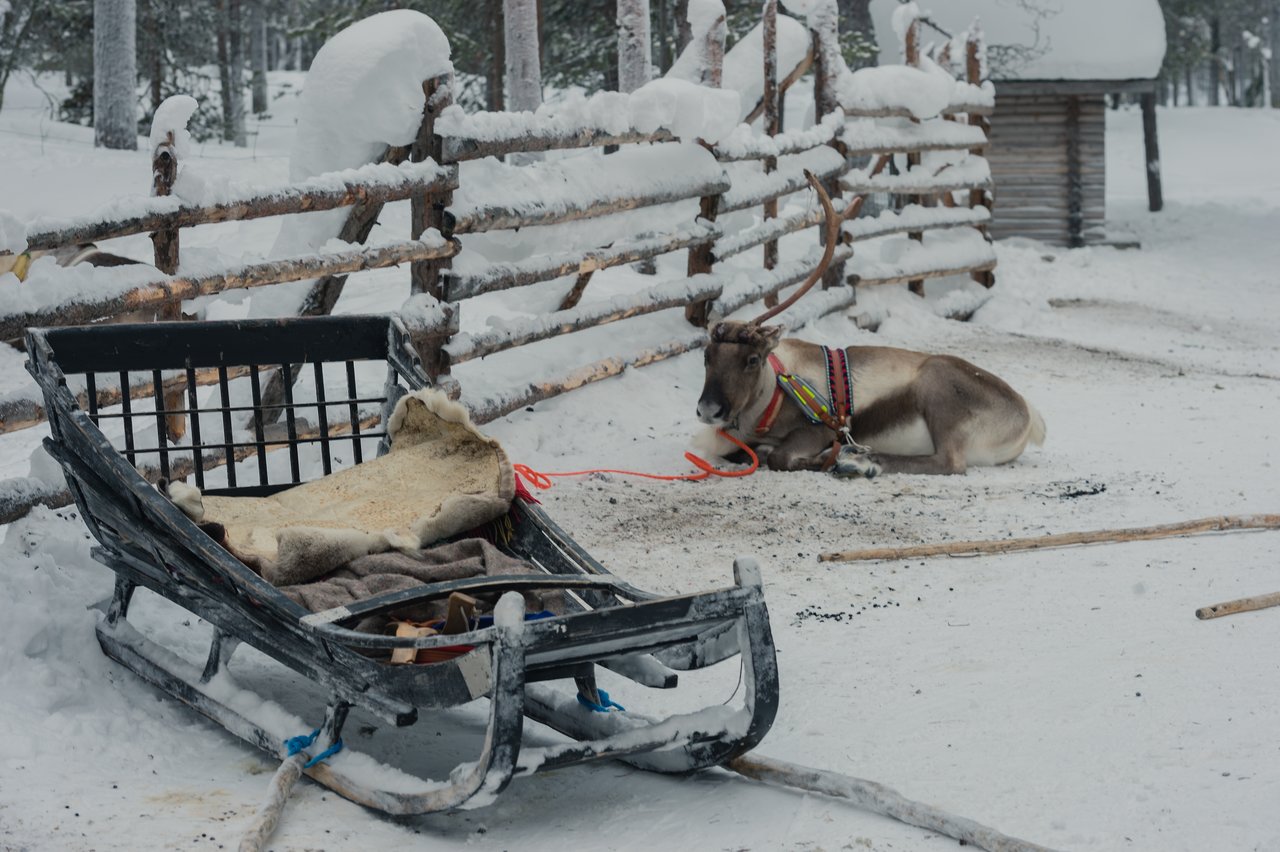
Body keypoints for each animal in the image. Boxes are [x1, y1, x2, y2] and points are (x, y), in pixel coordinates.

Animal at [696, 172, 1045, 477]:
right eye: (706, 356)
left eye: (752, 359)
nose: (709, 410)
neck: (770, 396)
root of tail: (1029, 417)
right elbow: (744, 453)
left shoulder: (821, 429)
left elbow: (780, 457)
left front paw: (829, 457)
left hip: (939, 389)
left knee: (950, 462)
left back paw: (862, 462)